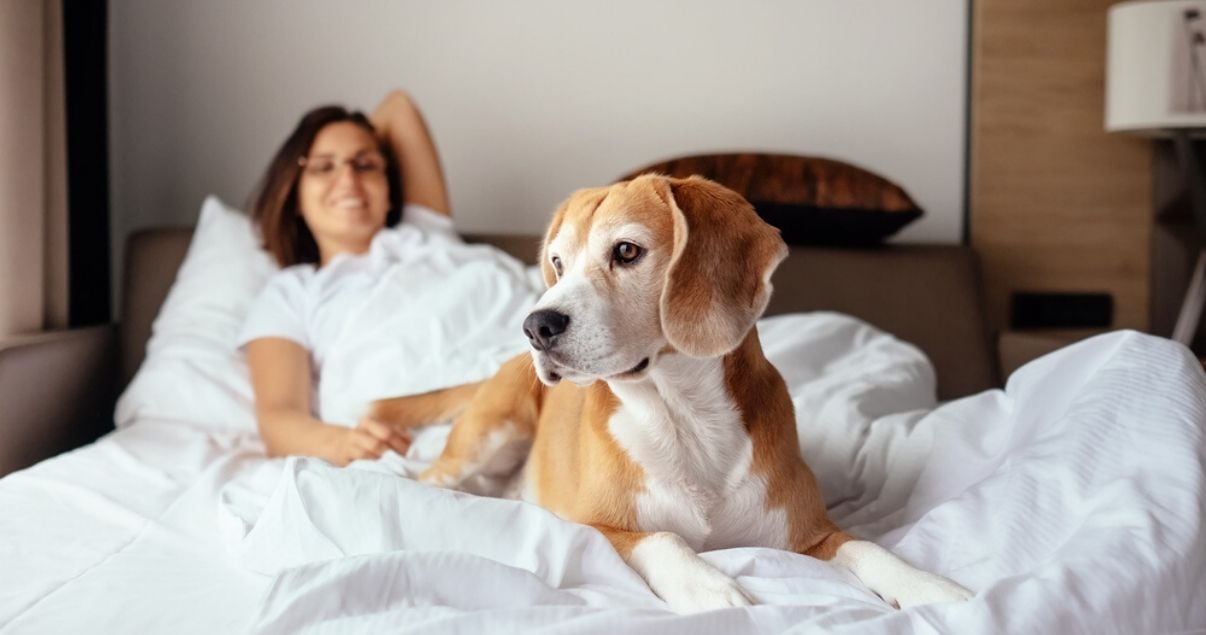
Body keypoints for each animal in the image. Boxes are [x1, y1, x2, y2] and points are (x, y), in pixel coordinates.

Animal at [371, 175, 974, 614]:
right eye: (558, 263)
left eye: (627, 251)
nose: (535, 326)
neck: (682, 416)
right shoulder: (596, 527)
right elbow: (663, 539)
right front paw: (709, 588)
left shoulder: (811, 534)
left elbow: (869, 547)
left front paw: (930, 587)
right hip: (486, 437)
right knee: (427, 477)